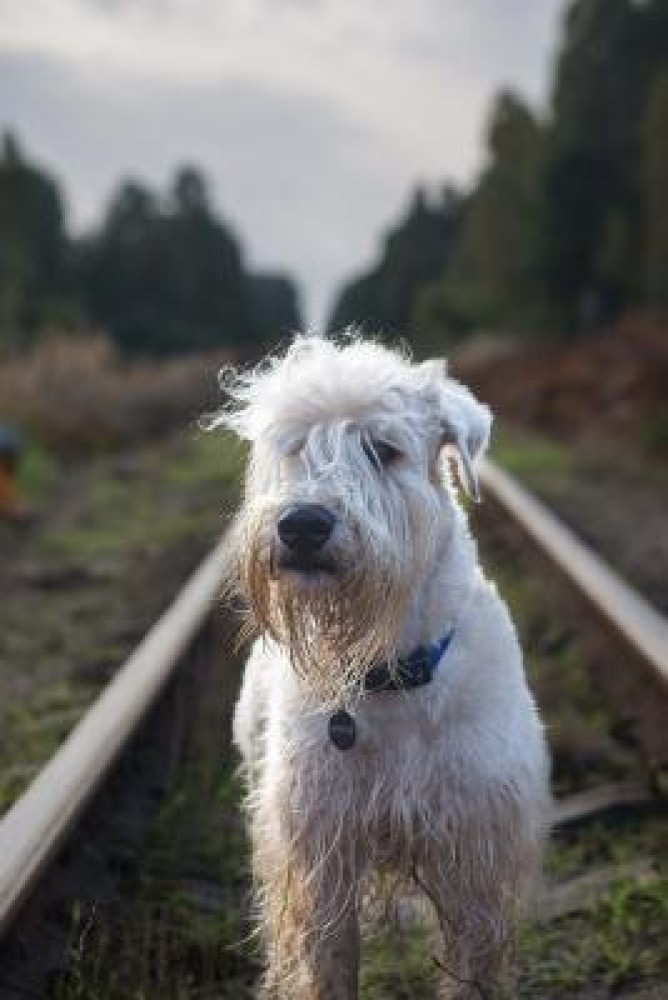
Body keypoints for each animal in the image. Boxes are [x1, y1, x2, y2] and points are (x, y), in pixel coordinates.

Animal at [213, 336, 548, 1000]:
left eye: (383, 449)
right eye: (295, 447)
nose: (303, 524)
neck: (389, 673)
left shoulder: (475, 854)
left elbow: (473, 966)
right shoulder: (319, 855)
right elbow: (327, 962)